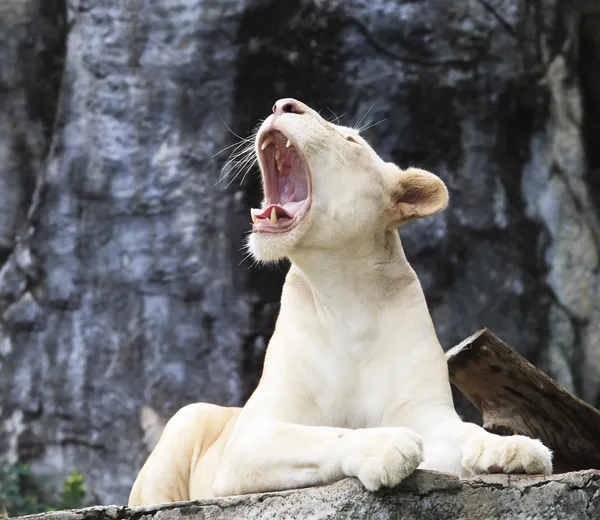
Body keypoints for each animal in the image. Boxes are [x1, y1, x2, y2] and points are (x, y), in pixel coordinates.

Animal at [127, 99, 552, 506]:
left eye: (350, 140)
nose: (282, 105)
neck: (345, 293)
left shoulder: (427, 412)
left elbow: (464, 431)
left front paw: (516, 448)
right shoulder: (250, 439)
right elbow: (322, 436)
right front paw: (389, 446)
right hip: (187, 418)